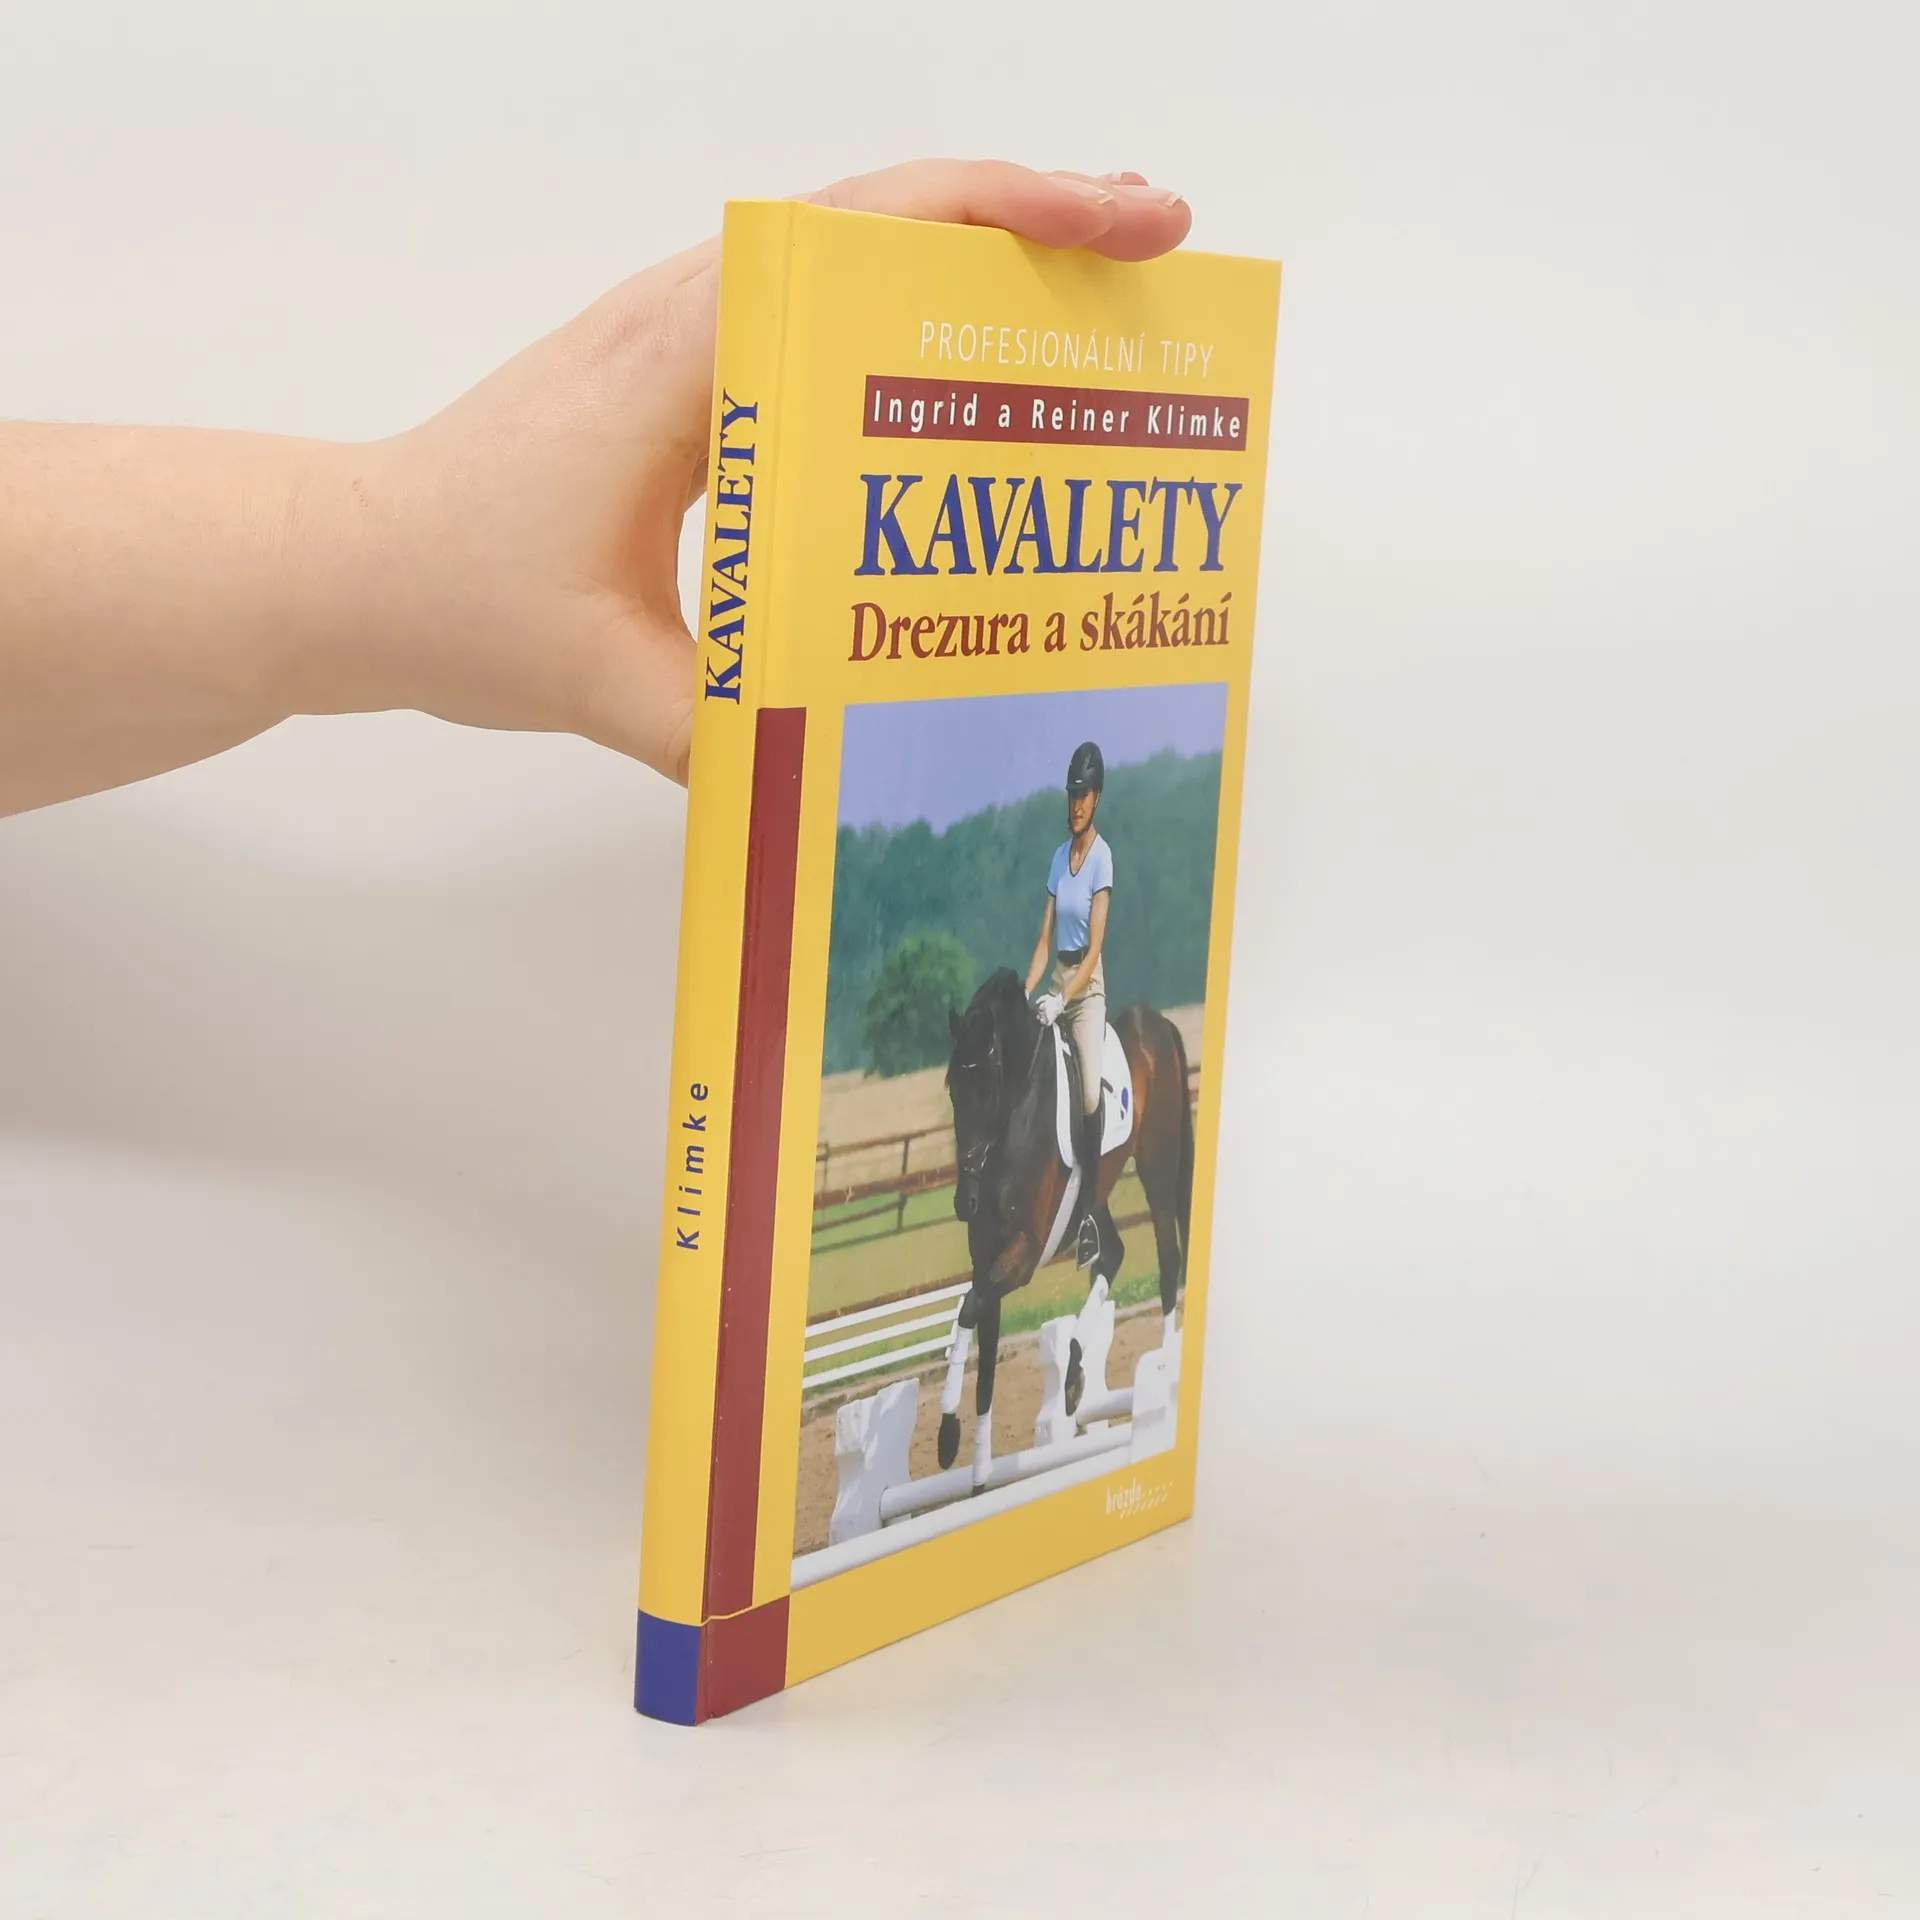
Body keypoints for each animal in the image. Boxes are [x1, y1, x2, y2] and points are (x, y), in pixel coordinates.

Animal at [937, 967, 1194, 1472]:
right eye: (952, 1090)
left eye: (988, 1089)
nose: (964, 1203)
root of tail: (1159, 1024)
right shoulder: (987, 1260)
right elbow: (983, 1363)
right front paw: (973, 1467)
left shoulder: (1025, 1253)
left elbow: (970, 1307)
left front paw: (947, 1434)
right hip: (1098, 1196)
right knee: (1111, 1252)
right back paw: (1074, 1373)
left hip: (1156, 1163)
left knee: (1168, 1258)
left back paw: (1161, 1366)